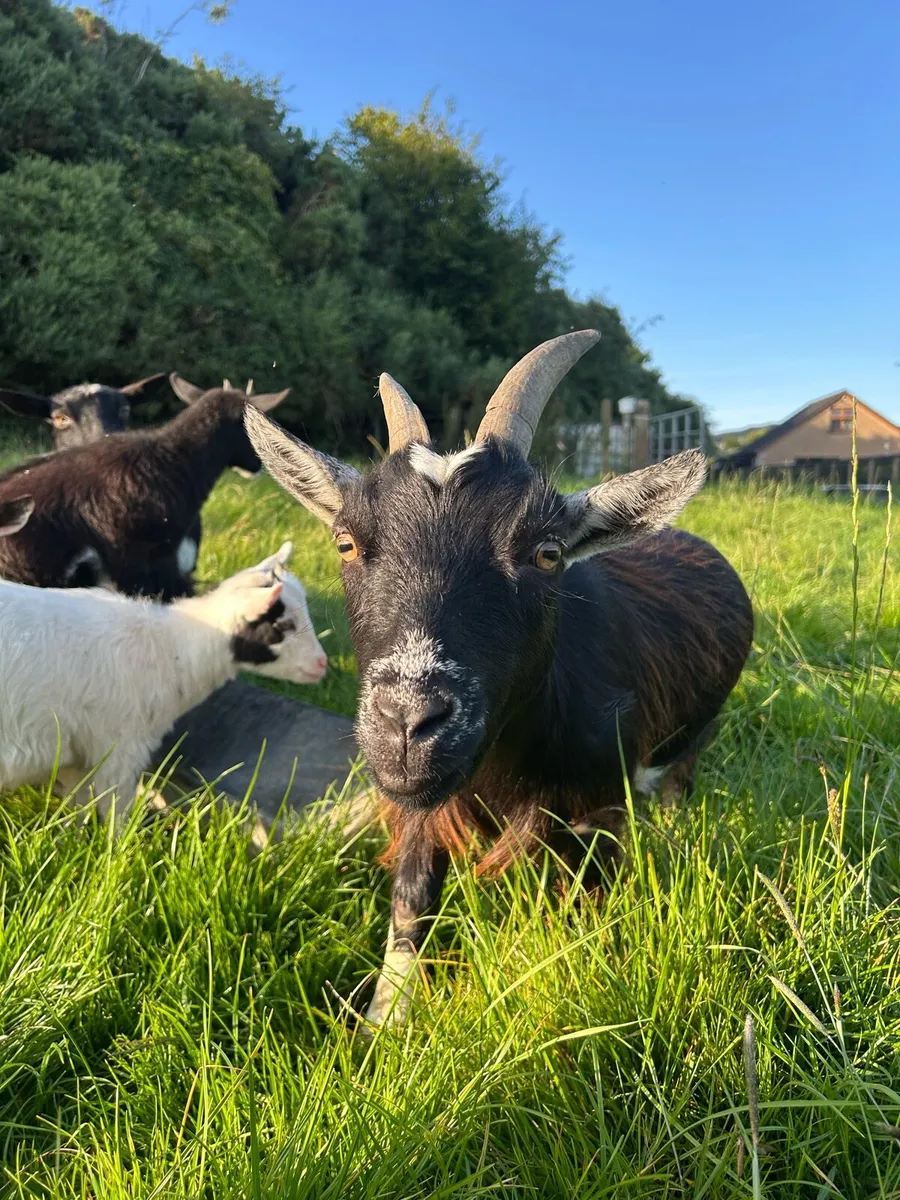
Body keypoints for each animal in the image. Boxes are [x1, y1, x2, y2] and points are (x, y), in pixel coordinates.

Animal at [0, 501, 327, 826]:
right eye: (283, 625)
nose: (322, 663)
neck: (173, 647)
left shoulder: (78, 753)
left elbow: (78, 804)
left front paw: (71, 831)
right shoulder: (119, 747)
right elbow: (116, 811)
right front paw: (120, 839)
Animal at [244, 330, 754, 1029]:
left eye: (546, 553)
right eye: (345, 542)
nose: (409, 723)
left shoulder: (597, 809)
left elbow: (583, 910)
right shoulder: (424, 801)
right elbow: (412, 894)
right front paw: (384, 1023)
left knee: (681, 776)